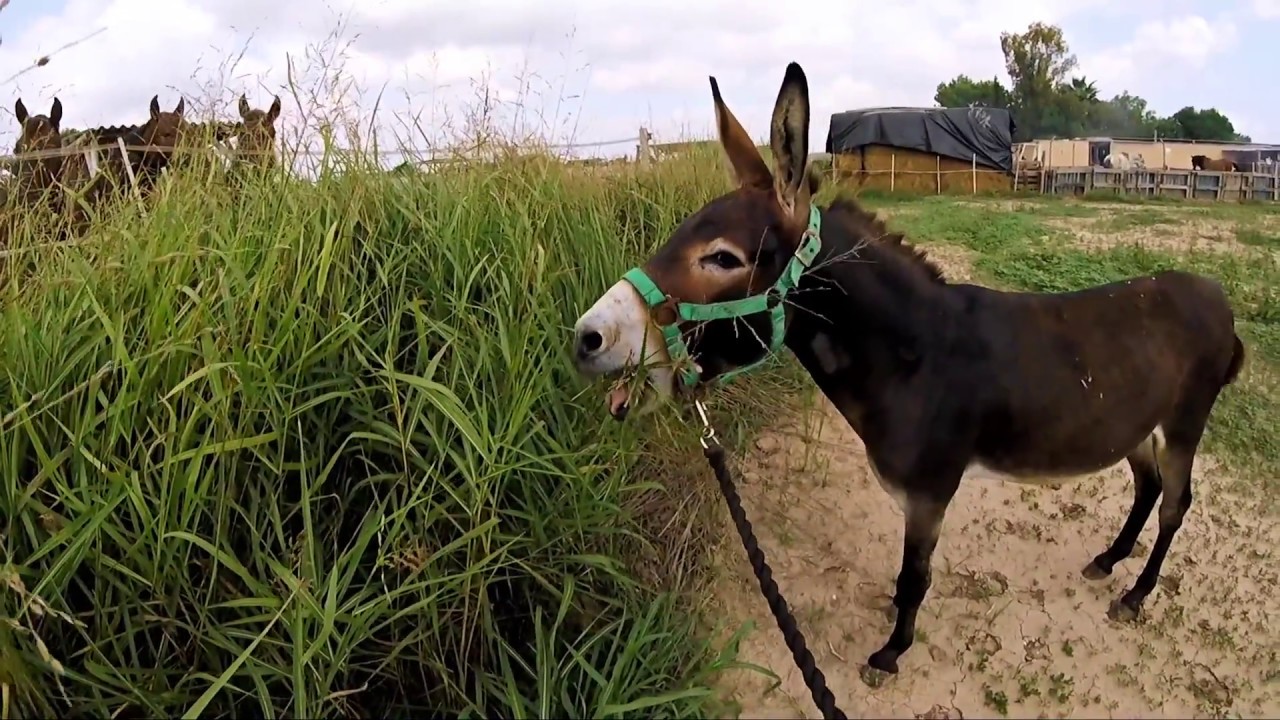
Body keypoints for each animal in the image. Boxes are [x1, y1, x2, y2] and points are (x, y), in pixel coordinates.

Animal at [570, 62, 1246, 677]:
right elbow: (905, 578)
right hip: (1134, 423)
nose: (587, 337)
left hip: (1186, 420)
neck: (916, 358)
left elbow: (915, 576)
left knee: (1176, 501)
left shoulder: (929, 494)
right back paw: (1110, 560)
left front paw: (891, 652)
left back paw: (1135, 593)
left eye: (722, 258)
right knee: (1149, 485)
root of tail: (1217, 298)